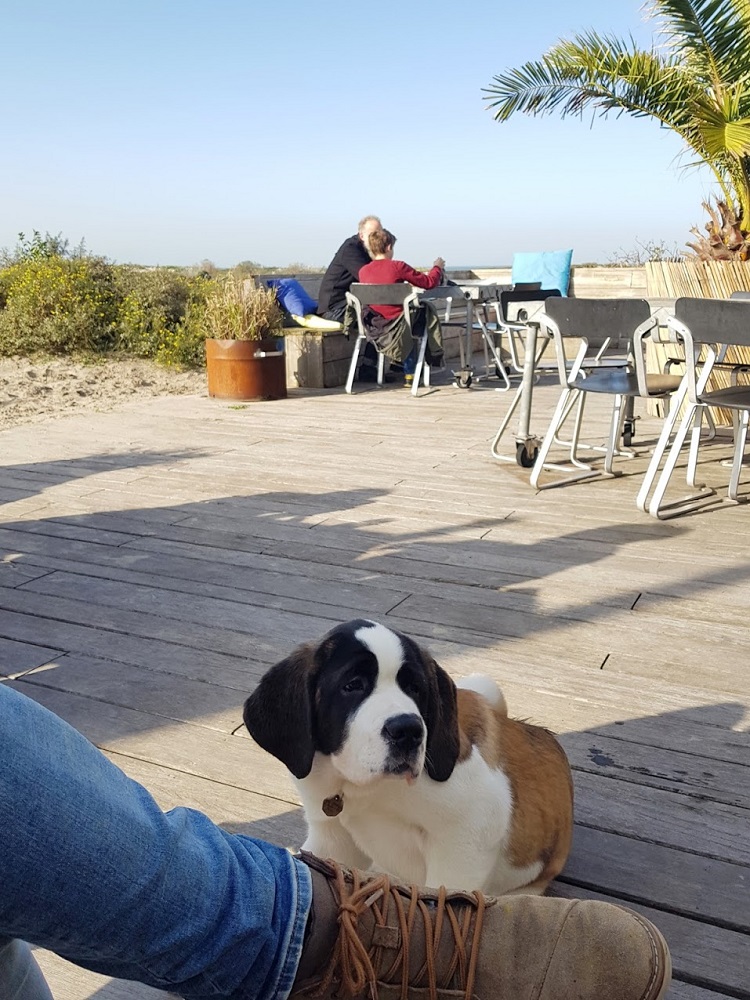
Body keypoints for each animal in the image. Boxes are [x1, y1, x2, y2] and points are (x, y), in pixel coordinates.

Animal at [244, 616, 572, 892]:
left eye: (415, 688)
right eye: (353, 685)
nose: (408, 730)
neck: (364, 791)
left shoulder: (469, 834)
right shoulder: (331, 838)